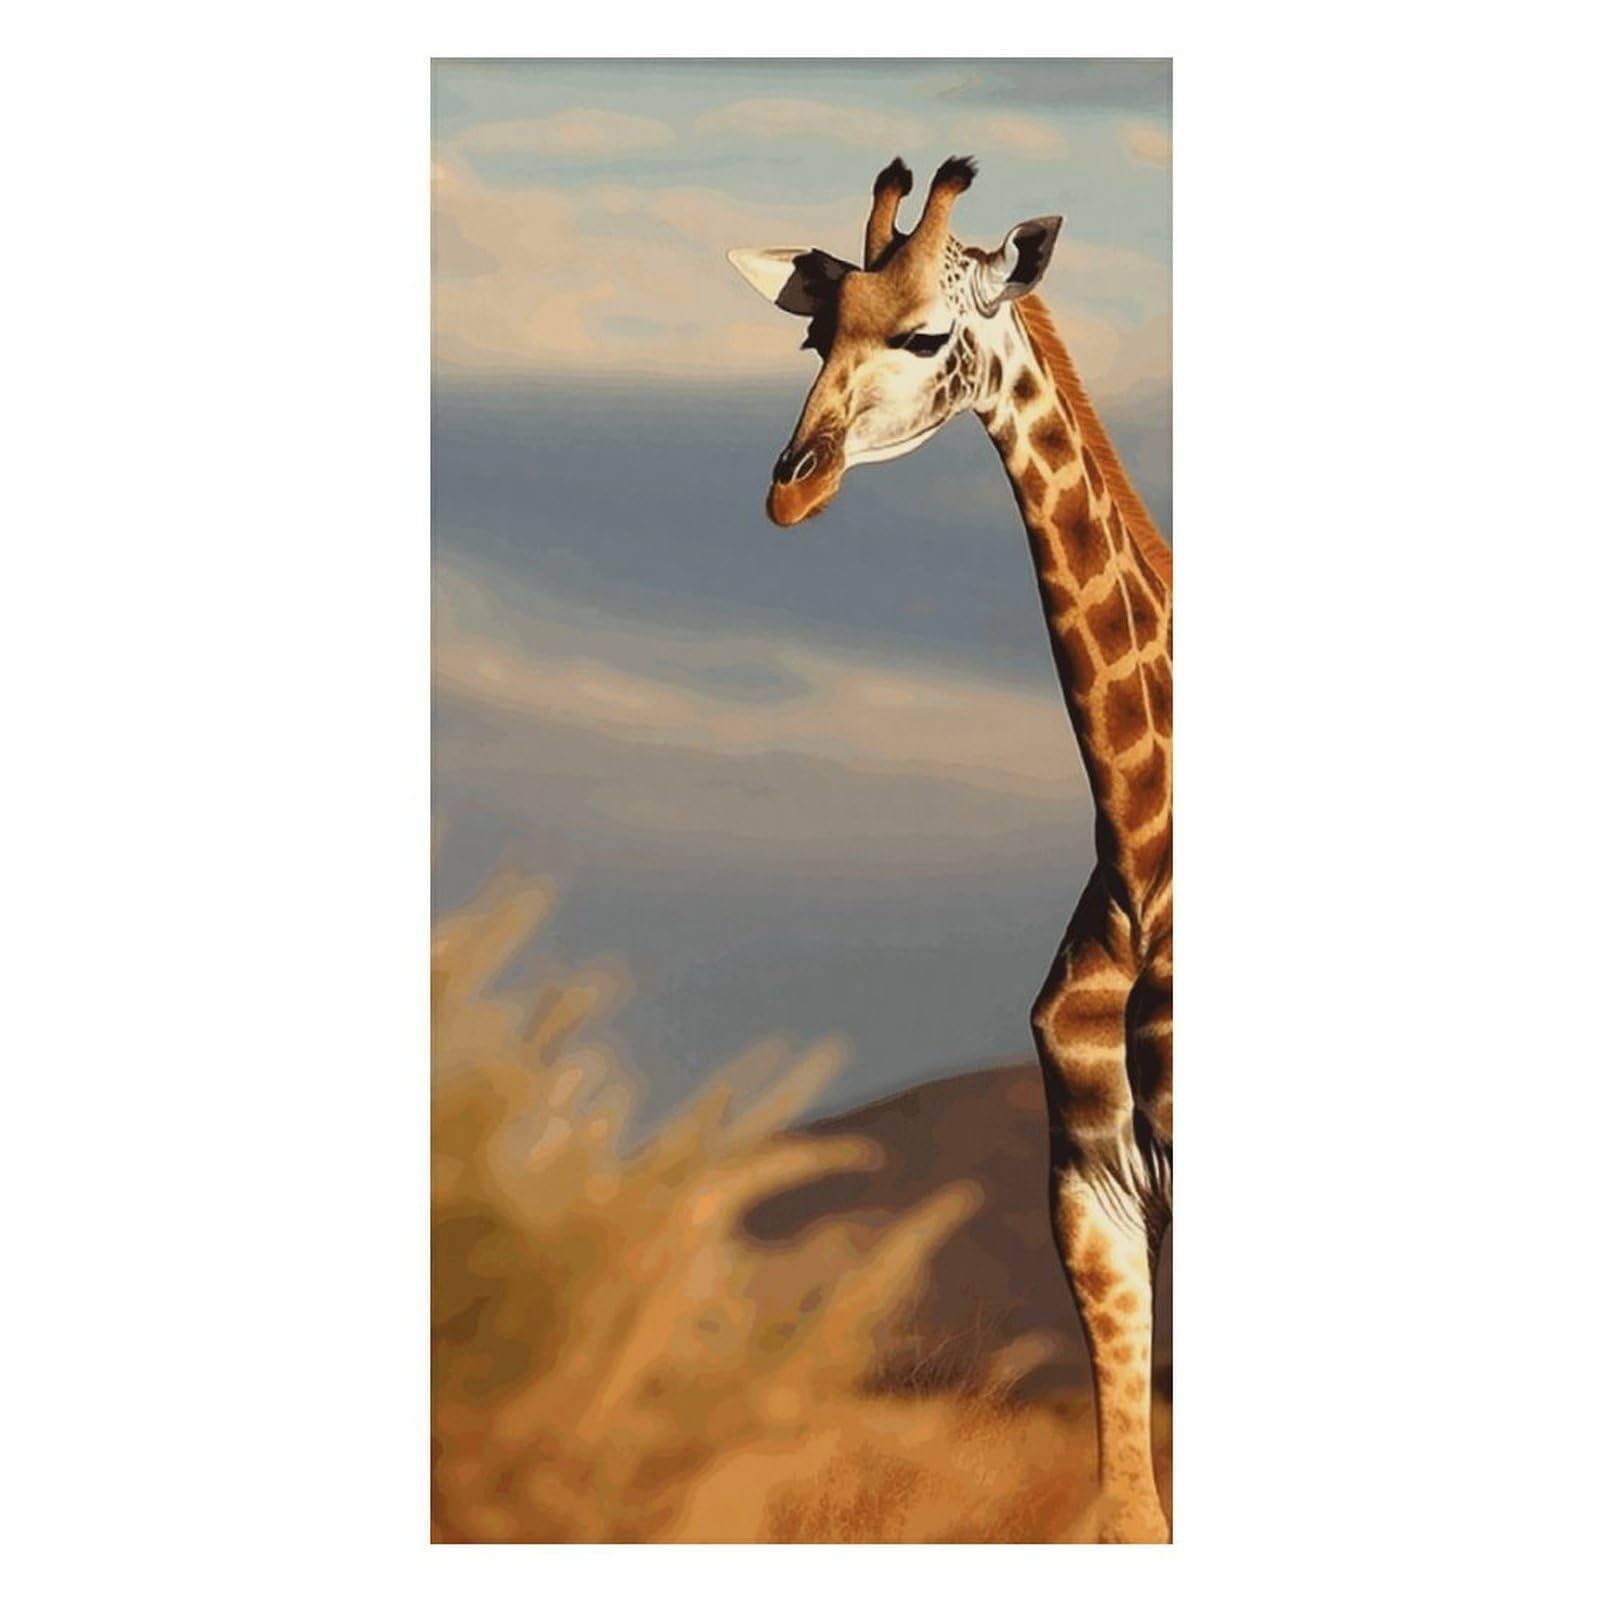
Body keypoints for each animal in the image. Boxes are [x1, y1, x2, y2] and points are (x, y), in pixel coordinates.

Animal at [729, 157, 1173, 1544]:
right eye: (815, 333)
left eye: (926, 335)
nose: (793, 484)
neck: (1136, 846)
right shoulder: (1091, 1189)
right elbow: (1126, 1508)